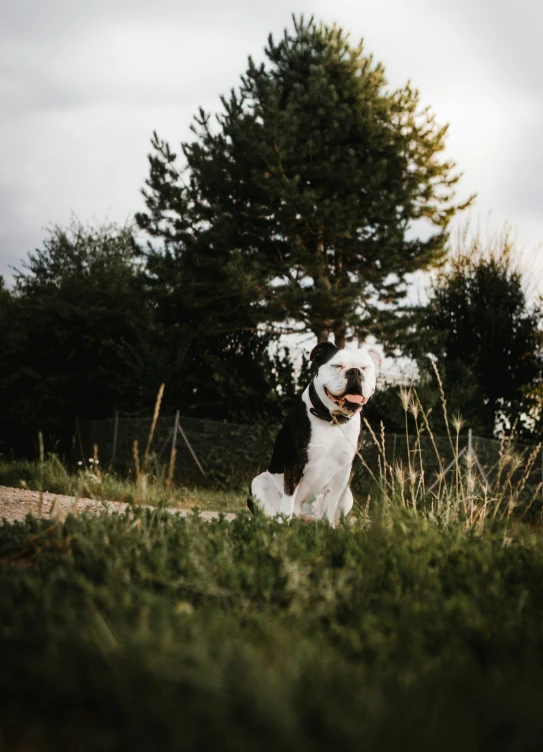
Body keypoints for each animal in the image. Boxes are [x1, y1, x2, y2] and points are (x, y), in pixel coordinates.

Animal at [249, 340, 380, 524]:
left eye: (364, 368)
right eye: (337, 365)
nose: (354, 372)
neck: (332, 420)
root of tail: (303, 517)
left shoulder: (343, 470)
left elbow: (331, 504)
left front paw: (328, 527)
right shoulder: (294, 462)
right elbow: (288, 498)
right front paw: (283, 526)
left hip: (348, 495)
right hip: (258, 483)